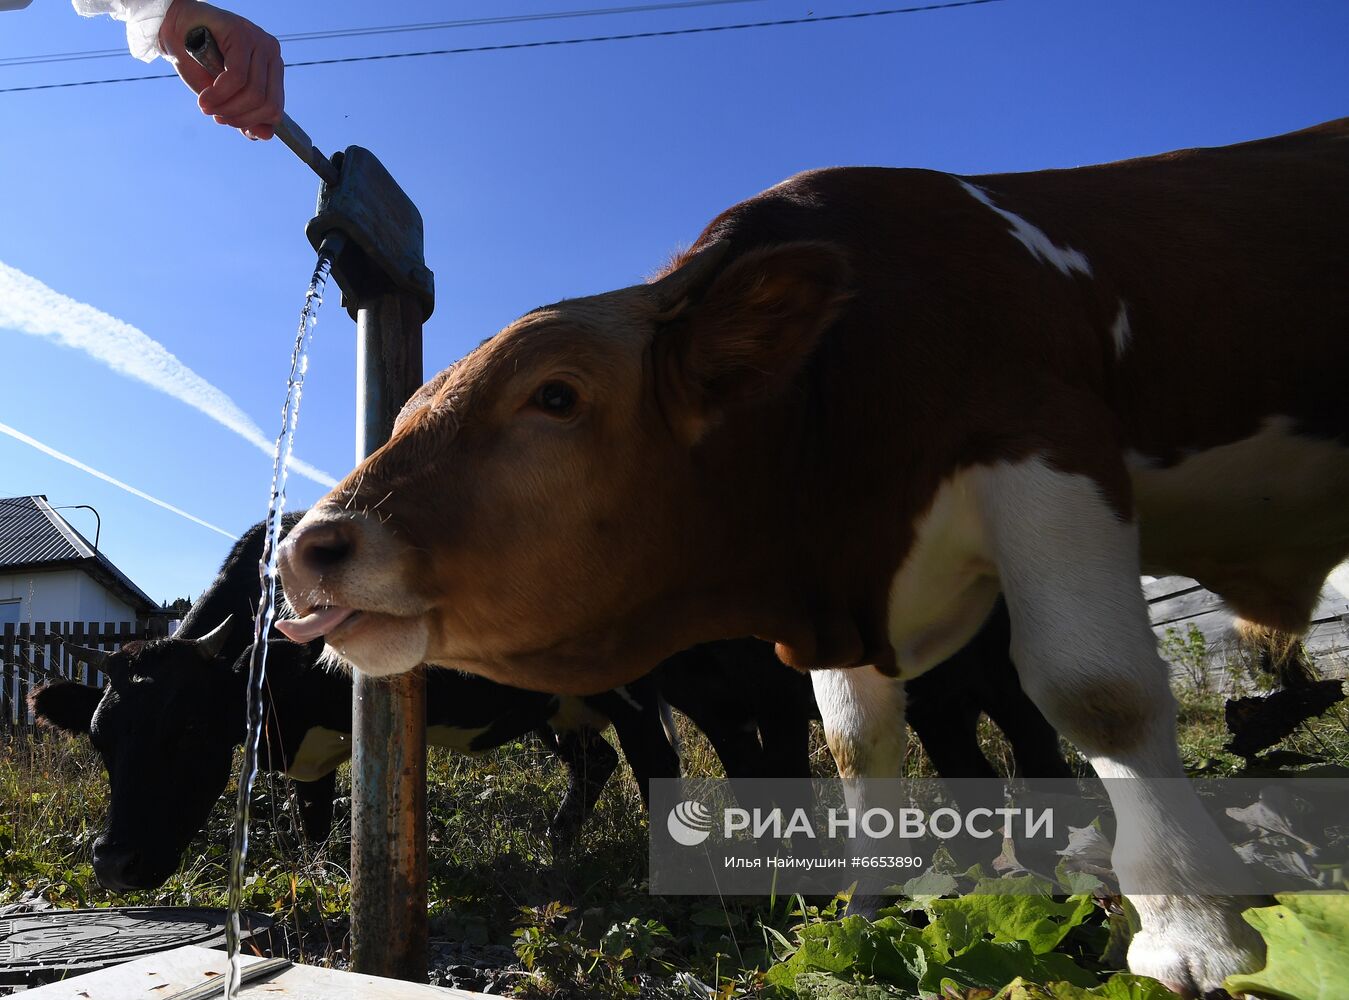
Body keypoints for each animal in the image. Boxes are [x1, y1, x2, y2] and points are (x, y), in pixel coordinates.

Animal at [279, 116, 1349, 993]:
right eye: (402, 412)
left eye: (556, 394)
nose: (309, 548)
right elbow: (854, 745)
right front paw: (862, 913)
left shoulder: (1049, 449)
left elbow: (1100, 695)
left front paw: (1195, 937)